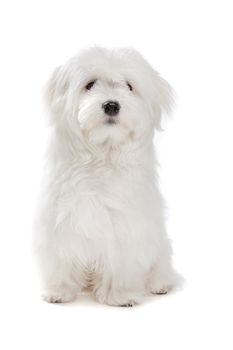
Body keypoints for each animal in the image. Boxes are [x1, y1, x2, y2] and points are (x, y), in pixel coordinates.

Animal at [34, 47, 179, 306]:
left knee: (160, 267)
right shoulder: (61, 221)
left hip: (160, 247)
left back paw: (159, 284)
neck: (102, 155)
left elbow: (121, 262)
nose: (111, 105)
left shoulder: (125, 227)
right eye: (90, 84)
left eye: (129, 86)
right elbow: (62, 257)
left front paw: (121, 296)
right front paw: (58, 291)